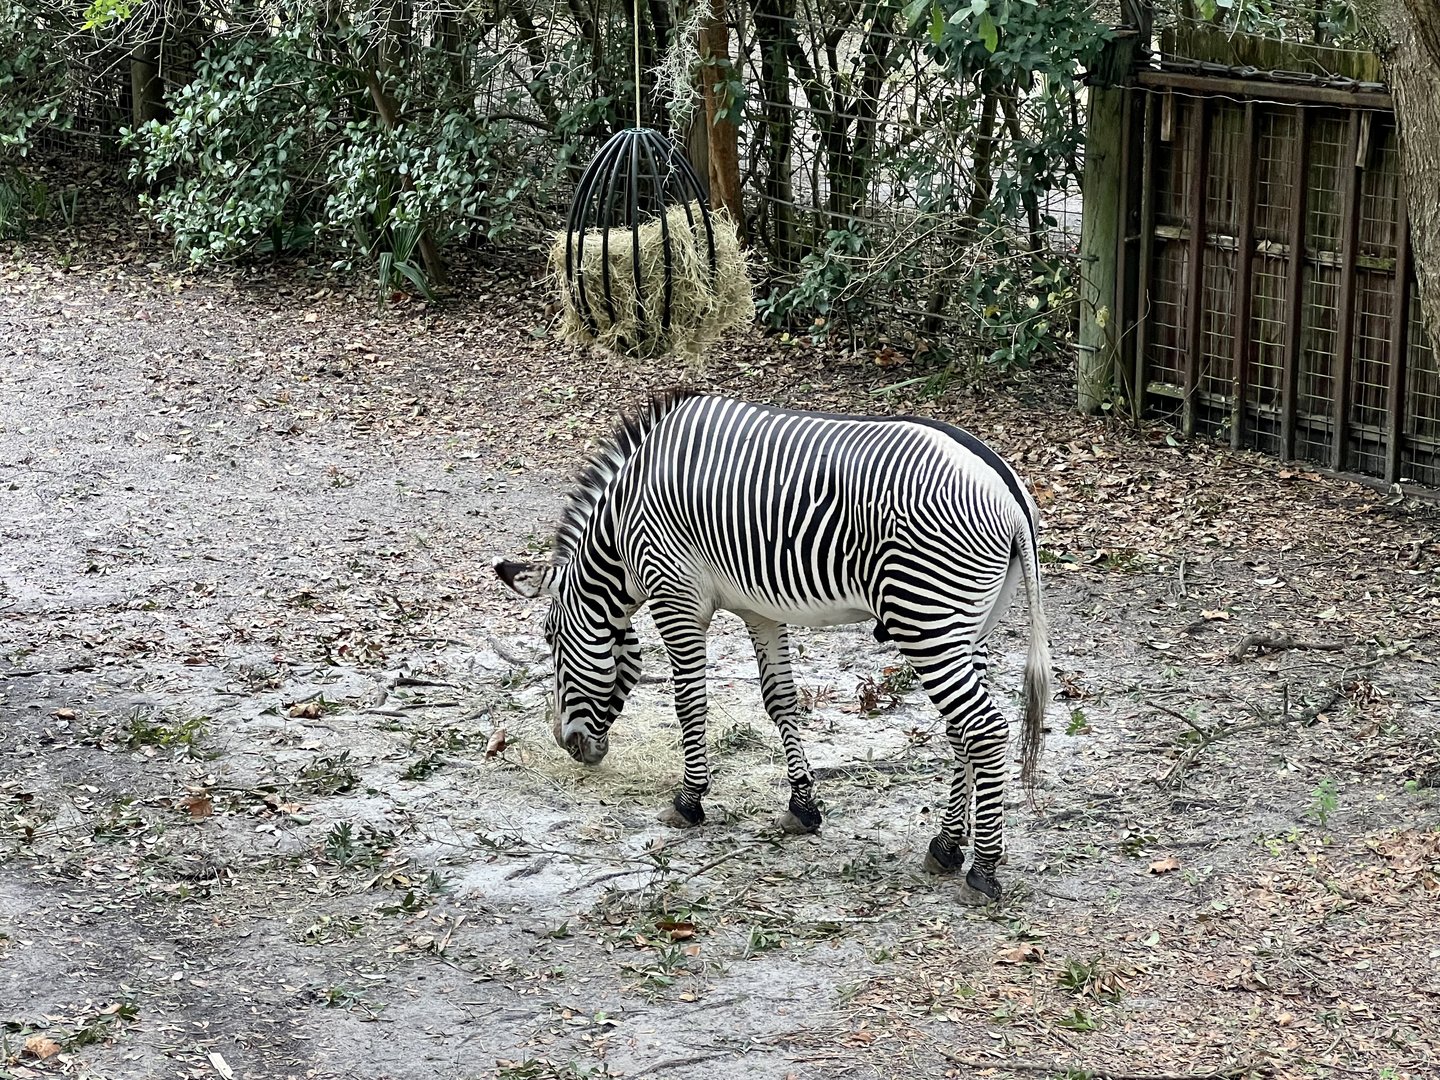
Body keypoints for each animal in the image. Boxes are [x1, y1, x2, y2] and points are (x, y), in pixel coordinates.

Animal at [494, 389, 1051, 904]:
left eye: (550, 639)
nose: (568, 745)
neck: (621, 525)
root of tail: (1008, 490)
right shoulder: (760, 610)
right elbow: (779, 700)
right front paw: (802, 807)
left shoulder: (676, 596)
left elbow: (690, 702)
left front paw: (689, 800)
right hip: (967, 625)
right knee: (963, 733)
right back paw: (947, 846)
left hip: (926, 618)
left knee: (983, 729)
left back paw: (983, 870)